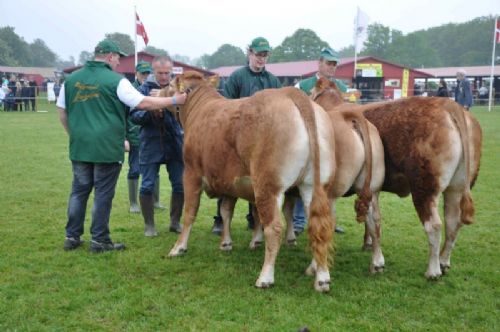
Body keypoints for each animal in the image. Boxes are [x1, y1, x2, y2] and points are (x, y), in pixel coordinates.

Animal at [165, 71, 336, 292]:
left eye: (170, 85)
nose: (158, 90)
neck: (199, 109)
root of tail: (293, 94)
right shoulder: (228, 182)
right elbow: (226, 211)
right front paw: (226, 244)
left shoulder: (191, 173)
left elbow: (189, 213)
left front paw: (179, 247)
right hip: (313, 187)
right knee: (319, 225)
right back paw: (320, 275)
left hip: (268, 185)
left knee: (274, 228)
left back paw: (265, 277)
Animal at [318, 80, 482, 278]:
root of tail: (449, 104)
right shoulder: (371, 188)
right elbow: (370, 219)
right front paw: (368, 244)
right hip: (456, 187)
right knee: (452, 222)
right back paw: (443, 262)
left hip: (424, 188)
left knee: (434, 226)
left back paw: (433, 271)